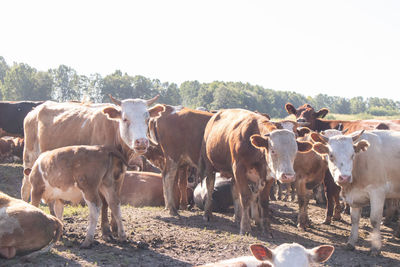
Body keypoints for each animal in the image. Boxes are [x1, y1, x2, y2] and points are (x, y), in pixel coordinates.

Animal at [21, 95, 162, 242]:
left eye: (147, 119)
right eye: (125, 119)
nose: (142, 142)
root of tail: (34, 111)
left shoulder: (120, 174)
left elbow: (115, 200)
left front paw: (115, 229)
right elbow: (104, 203)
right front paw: (106, 231)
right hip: (30, 158)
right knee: (25, 189)